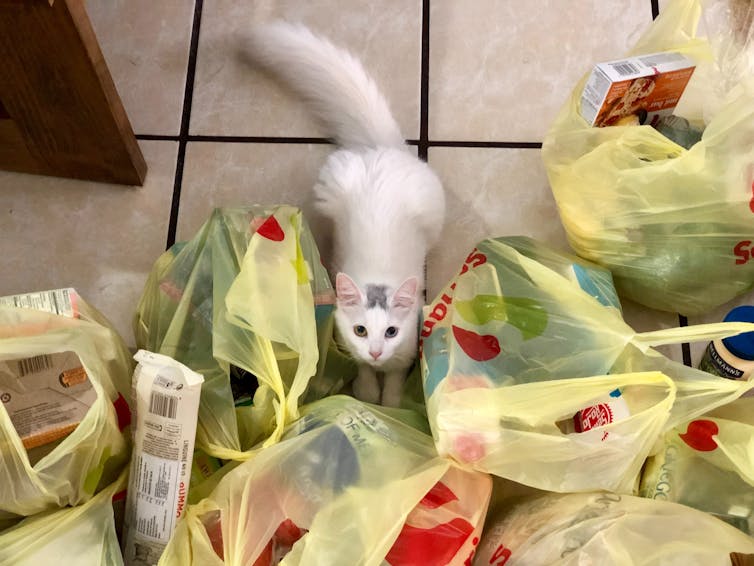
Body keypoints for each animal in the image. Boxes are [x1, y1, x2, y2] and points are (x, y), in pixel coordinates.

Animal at [247, 22, 444, 408]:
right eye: (361, 330)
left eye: (391, 331)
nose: (377, 351)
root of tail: (380, 148)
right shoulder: (349, 342)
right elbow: (363, 370)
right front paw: (367, 392)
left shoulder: (406, 350)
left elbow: (394, 379)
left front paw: (389, 402)